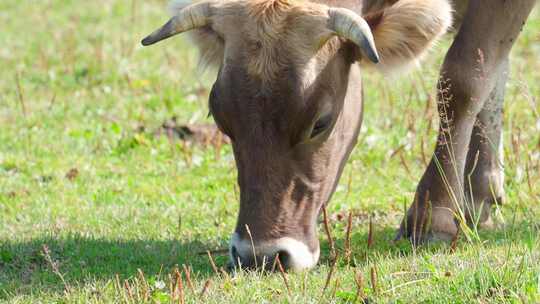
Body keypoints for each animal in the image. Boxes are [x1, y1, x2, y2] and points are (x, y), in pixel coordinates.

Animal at [142, 0, 536, 270]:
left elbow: (466, 76)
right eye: (221, 118)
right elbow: (493, 69)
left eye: (321, 121)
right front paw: (476, 195)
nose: (262, 256)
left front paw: (431, 217)